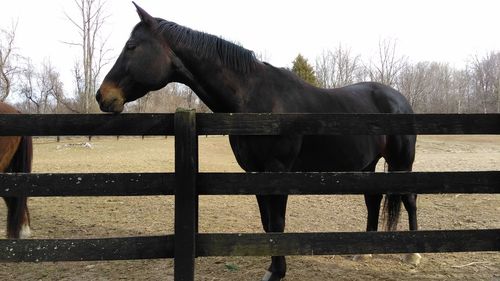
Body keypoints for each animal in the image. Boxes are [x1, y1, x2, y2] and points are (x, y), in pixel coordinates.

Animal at [96, 3, 418, 278]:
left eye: (131, 47)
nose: (103, 96)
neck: (256, 99)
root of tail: (399, 98)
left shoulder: (277, 170)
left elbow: (277, 223)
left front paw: (277, 272)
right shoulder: (255, 172)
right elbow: (267, 223)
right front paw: (272, 268)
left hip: (401, 162)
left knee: (409, 198)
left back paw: (413, 254)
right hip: (368, 165)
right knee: (373, 198)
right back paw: (365, 252)